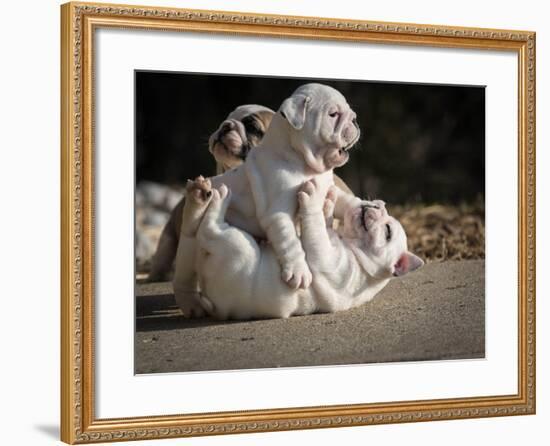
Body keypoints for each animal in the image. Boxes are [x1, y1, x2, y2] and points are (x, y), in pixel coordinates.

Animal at [184, 176, 422, 318]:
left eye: (388, 231)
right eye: (379, 205)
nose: (375, 206)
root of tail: (212, 299)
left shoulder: (327, 260)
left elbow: (314, 227)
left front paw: (315, 198)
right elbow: (322, 222)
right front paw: (328, 202)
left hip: (238, 246)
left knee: (210, 230)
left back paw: (218, 199)